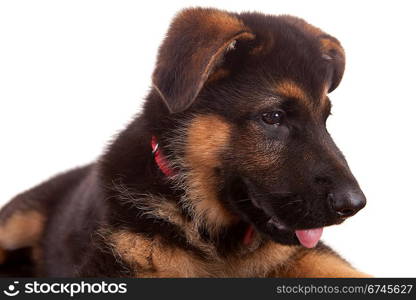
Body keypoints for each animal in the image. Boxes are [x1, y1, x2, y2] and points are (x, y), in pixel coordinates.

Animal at [0, 8, 370, 278]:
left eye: (326, 119)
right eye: (273, 117)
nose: (355, 205)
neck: (214, 235)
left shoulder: (303, 254)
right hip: (18, 221)